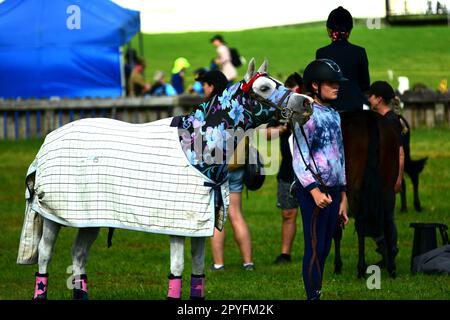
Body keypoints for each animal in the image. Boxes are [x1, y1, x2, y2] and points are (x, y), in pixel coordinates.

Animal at [17, 58, 312, 300]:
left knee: (78, 257)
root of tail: (48, 140)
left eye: (280, 83)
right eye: (264, 87)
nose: (306, 103)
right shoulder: (178, 226)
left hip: (89, 218)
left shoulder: (199, 227)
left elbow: (198, 271)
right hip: (54, 216)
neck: (197, 146)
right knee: (45, 256)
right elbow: (177, 270)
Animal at [332, 110, 400, 278]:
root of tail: (369, 118)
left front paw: (338, 266)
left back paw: (361, 268)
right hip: (387, 187)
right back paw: (391, 266)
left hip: (355, 189)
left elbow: (336, 228)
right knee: (387, 220)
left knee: (361, 223)